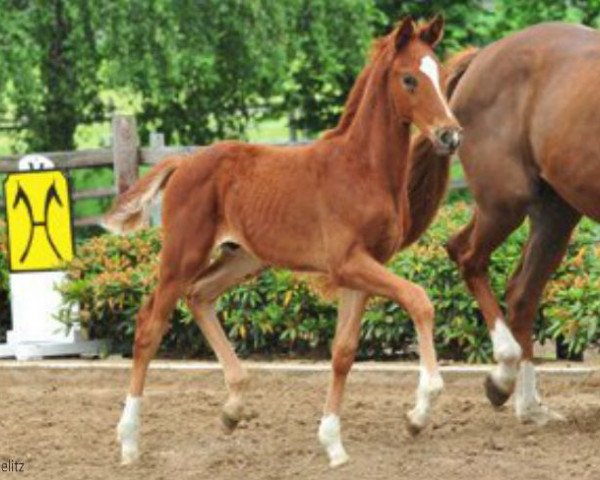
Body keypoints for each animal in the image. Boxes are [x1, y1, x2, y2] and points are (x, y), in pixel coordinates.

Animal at [104, 15, 460, 468]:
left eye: (442, 75)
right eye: (410, 78)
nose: (450, 135)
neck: (362, 171)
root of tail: (183, 162)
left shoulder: (363, 270)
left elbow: (344, 351)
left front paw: (333, 443)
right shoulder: (348, 264)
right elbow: (419, 299)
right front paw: (421, 408)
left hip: (243, 258)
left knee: (200, 295)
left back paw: (233, 407)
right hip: (183, 254)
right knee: (150, 325)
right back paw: (129, 441)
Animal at [414, 23, 600, 424]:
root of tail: (483, 56)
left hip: (554, 212)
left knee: (521, 293)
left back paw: (528, 405)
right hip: (505, 202)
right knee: (469, 257)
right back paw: (503, 375)